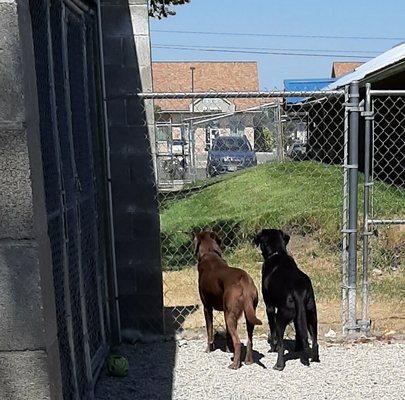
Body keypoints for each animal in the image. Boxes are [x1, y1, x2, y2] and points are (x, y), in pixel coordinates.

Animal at [193, 231, 262, 368]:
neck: (210, 252)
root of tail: (244, 280)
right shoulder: (225, 309)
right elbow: (228, 336)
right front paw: (228, 349)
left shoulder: (207, 308)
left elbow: (209, 331)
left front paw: (208, 349)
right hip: (248, 312)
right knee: (249, 340)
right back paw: (248, 361)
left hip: (230, 314)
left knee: (238, 341)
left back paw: (235, 364)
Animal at [252, 230, 318, 370]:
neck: (277, 253)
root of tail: (299, 290)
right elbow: (299, 332)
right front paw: (298, 348)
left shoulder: (270, 307)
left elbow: (273, 332)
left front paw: (272, 348)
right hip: (311, 314)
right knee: (315, 340)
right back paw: (314, 359)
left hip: (281, 317)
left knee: (281, 343)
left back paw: (279, 365)